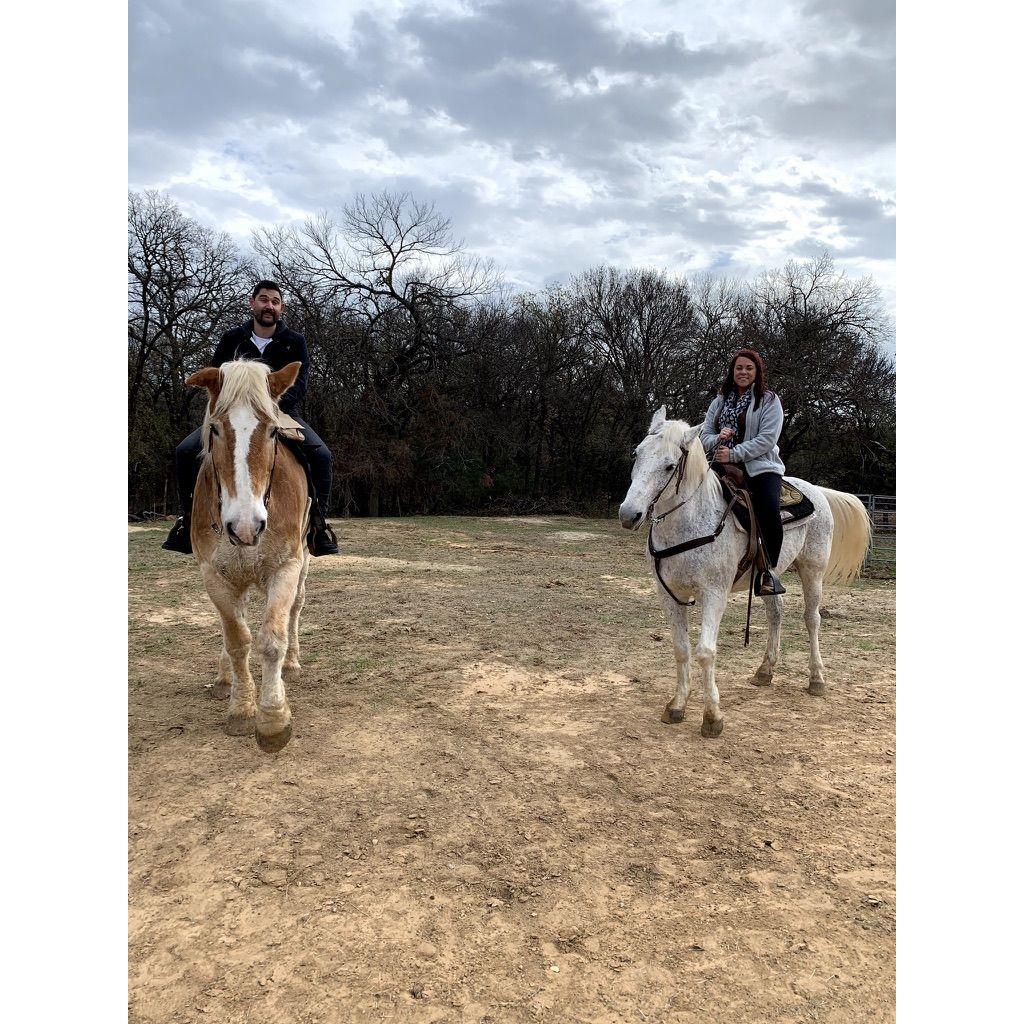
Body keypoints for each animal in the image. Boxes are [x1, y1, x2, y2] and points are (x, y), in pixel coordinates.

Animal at [184, 360, 311, 753]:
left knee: (296, 608)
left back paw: (292, 665)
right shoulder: (214, 574)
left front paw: (272, 719)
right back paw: (225, 678)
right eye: (214, 428)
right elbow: (238, 639)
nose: (245, 527)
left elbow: (271, 640)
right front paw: (241, 709)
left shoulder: (286, 567)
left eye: (272, 431)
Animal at [614, 405, 872, 737]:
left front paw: (712, 717)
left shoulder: (714, 594)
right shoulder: (669, 594)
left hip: (812, 571)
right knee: (776, 613)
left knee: (811, 619)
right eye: (637, 453)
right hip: (768, 576)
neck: (689, 523)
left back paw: (817, 679)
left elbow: (705, 651)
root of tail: (816, 491)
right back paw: (765, 670)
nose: (628, 514)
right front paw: (676, 706)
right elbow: (681, 649)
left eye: (670, 465)